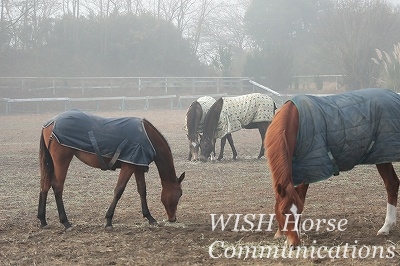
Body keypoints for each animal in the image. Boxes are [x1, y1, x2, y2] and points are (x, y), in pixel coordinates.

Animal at [37, 110, 184, 231]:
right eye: (179, 194)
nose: (173, 219)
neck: (147, 137)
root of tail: (51, 122)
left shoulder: (137, 166)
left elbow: (142, 190)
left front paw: (150, 218)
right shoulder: (128, 166)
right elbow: (119, 190)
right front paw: (108, 220)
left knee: (45, 185)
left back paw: (43, 220)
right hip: (62, 160)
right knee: (57, 186)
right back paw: (65, 222)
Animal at [266, 88, 400, 247]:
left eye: (299, 211)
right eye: (283, 212)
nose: (294, 244)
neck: (295, 121)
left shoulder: (309, 168)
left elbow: (302, 196)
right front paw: (280, 233)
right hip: (383, 156)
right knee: (392, 183)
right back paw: (387, 227)